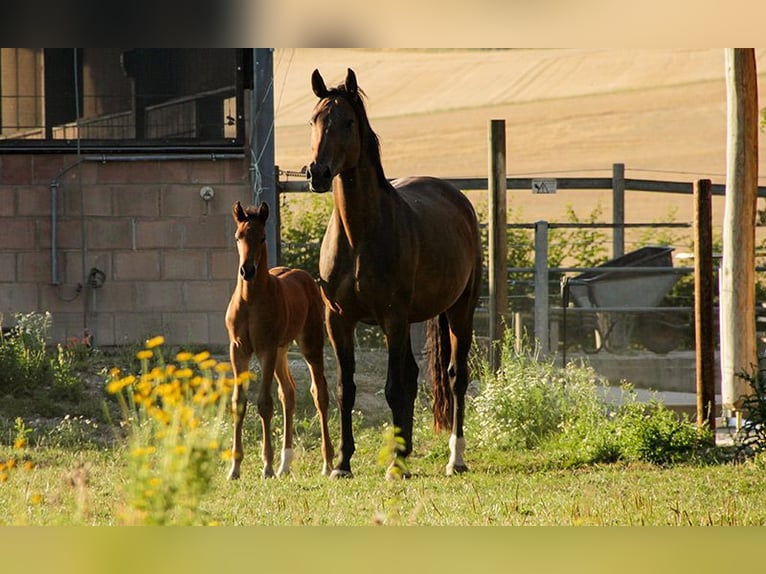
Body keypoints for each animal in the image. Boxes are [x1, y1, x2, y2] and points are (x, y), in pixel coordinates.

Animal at [225, 200, 334, 479]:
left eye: (262, 237)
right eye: (238, 236)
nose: (247, 271)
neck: (250, 301)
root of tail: (303, 276)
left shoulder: (265, 349)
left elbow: (264, 403)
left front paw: (267, 467)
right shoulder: (238, 350)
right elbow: (238, 402)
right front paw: (234, 468)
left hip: (309, 344)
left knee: (320, 393)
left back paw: (328, 463)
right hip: (282, 350)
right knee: (289, 392)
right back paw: (286, 464)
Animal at [306, 68, 482, 478]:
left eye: (348, 122)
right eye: (314, 120)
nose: (317, 173)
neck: (359, 235)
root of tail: (456, 198)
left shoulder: (392, 318)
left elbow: (392, 388)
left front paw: (395, 468)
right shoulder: (338, 320)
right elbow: (347, 389)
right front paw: (343, 463)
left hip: (459, 311)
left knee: (456, 377)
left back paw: (455, 458)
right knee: (415, 376)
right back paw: (407, 450)